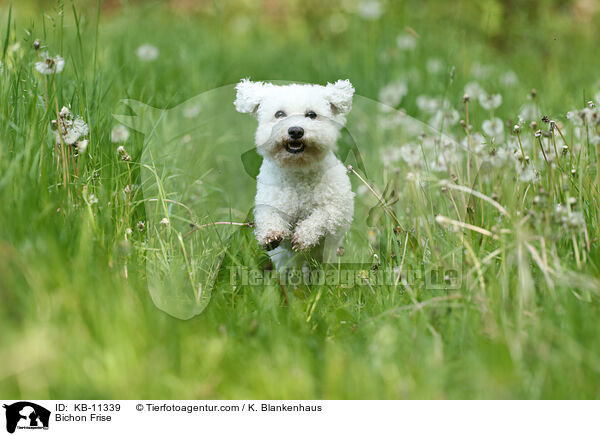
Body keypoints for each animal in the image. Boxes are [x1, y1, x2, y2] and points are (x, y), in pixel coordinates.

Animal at [234, 76, 356, 270]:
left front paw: (304, 236)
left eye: (311, 115)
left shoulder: (336, 208)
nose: (296, 130)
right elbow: (268, 216)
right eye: (279, 114)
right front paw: (271, 235)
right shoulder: (270, 201)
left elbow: (322, 217)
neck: (298, 169)